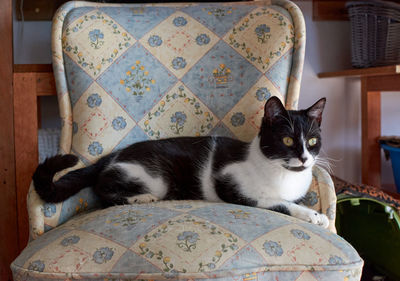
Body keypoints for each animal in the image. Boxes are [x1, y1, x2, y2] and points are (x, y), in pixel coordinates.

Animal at [33, 96, 328, 228]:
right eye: (287, 140)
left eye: (313, 141)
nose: (304, 158)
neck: (282, 174)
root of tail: (113, 155)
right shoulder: (232, 187)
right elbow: (279, 203)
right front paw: (315, 216)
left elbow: (287, 200)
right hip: (156, 178)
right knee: (103, 189)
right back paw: (141, 198)